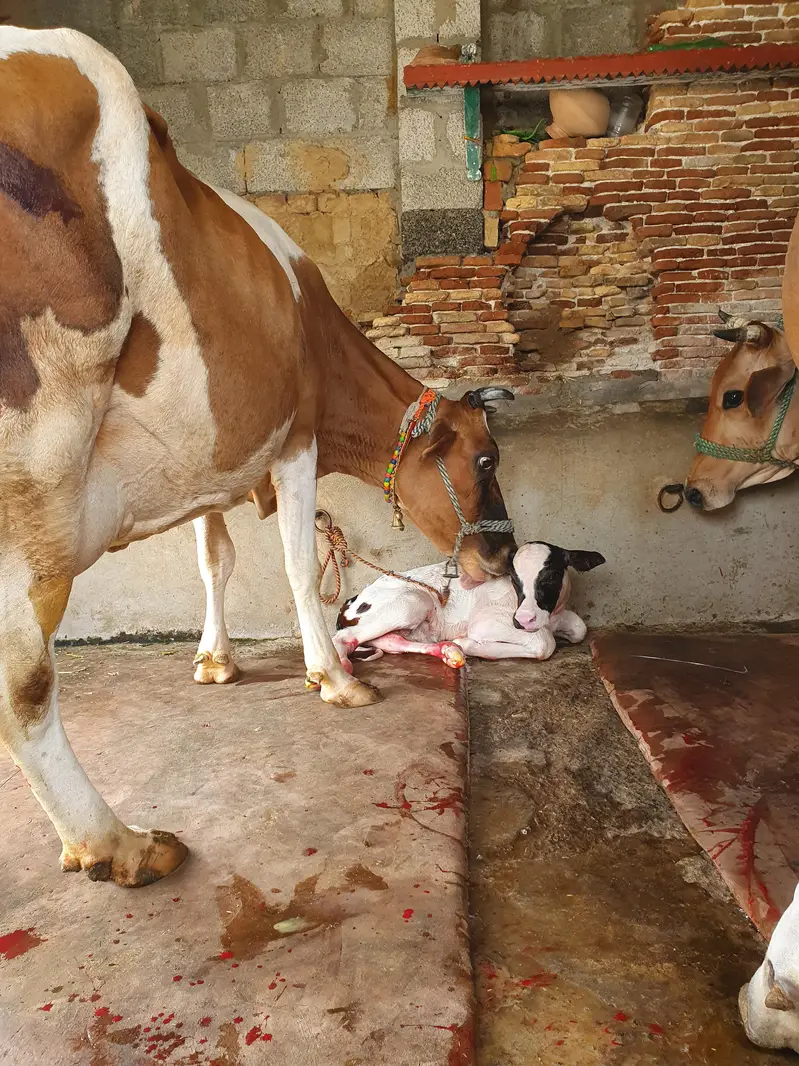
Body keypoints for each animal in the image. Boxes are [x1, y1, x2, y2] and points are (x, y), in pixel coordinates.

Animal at [0, 26, 516, 887]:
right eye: (483, 460)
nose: (503, 557)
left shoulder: (208, 466)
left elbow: (216, 563)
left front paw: (215, 660)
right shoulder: (294, 438)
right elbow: (298, 565)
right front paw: (333, 676)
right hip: (32, 480)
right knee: (24, 682)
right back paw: (118, 844)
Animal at [333, 542, 606, 668]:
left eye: (552, 576)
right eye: (515, 578)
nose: (524, 619)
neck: (550, 617)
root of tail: (353, 598)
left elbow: (579, 628)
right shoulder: (484, 622)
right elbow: (544, 643)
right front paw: (469, 643)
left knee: (391, 640)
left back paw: (447, 651)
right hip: (414, 601)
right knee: (342, 638)